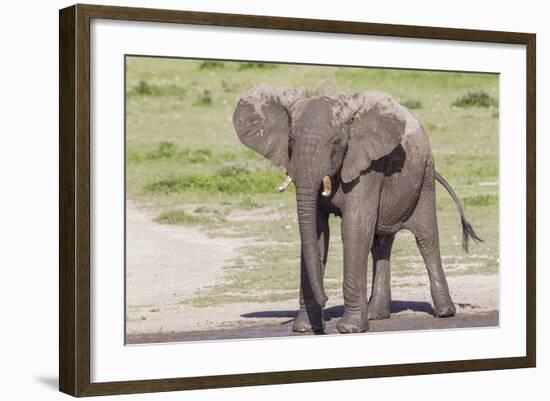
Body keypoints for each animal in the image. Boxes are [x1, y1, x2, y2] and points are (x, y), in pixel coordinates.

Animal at [233, 85, 484, 334]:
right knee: (381, 244)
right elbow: (317, 233)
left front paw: (350, 328)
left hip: (425, 177)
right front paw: (304, 328)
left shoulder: (367, 167)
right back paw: (376, 315)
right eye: (291, 141)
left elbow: (354, 229)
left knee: (426, 238)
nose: (326, 299)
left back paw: (444, 312)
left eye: (336, 143)